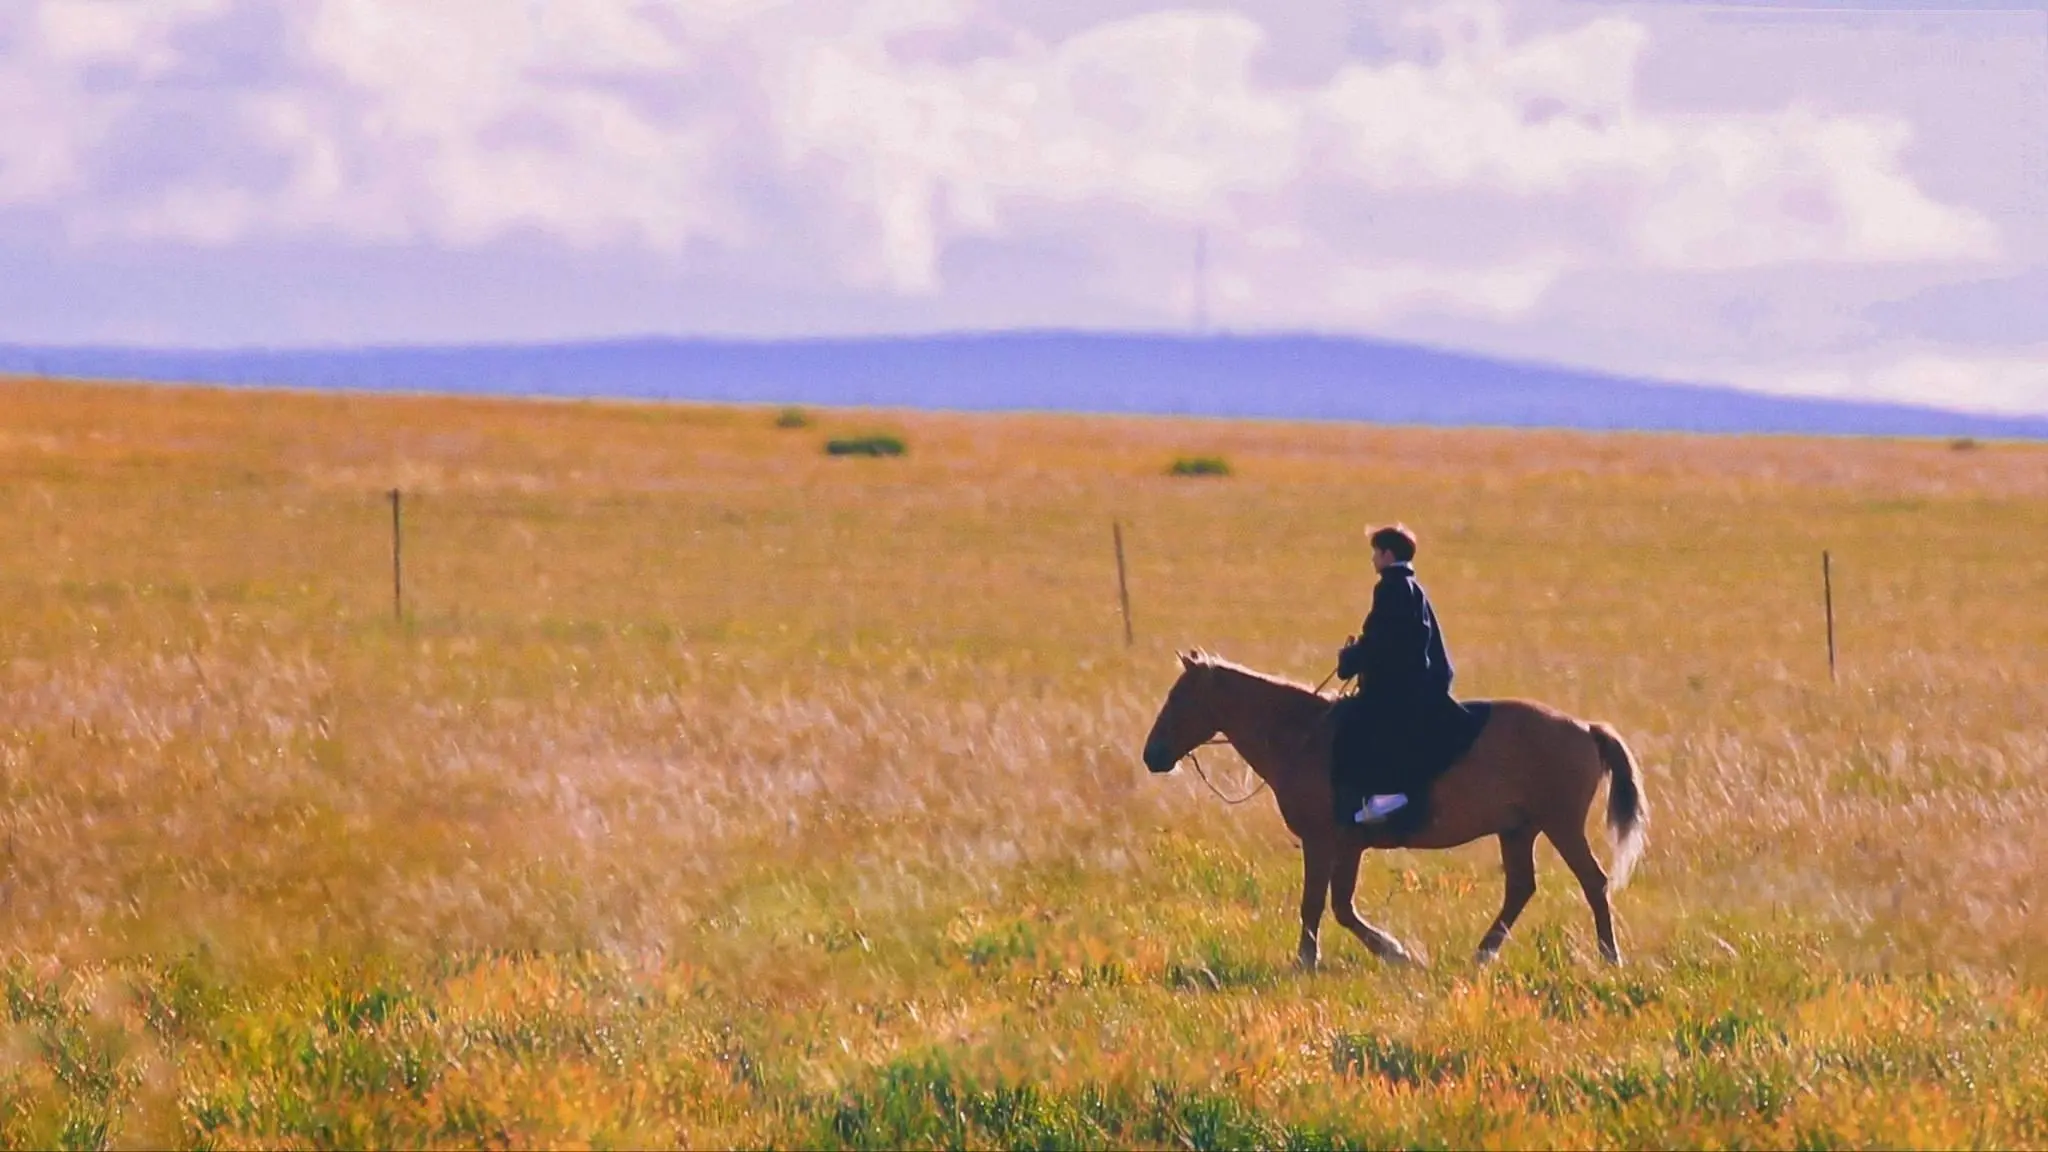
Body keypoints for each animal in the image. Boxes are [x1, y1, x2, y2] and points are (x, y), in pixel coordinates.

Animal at [1138, 651, 1646, 963]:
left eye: (1180, 699)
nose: (1153, 755)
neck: (1305, 736)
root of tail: (1585, 728)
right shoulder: (1347, 846)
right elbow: (1339, 906)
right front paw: (1395, 953)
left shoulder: (1324, 841)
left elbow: (1317, 904)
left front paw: (1321, 959)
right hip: (1518, 830)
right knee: (1521, 889)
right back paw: (1483, 954)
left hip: (1560, 826)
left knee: (1593, 881)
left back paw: (1609, 956)